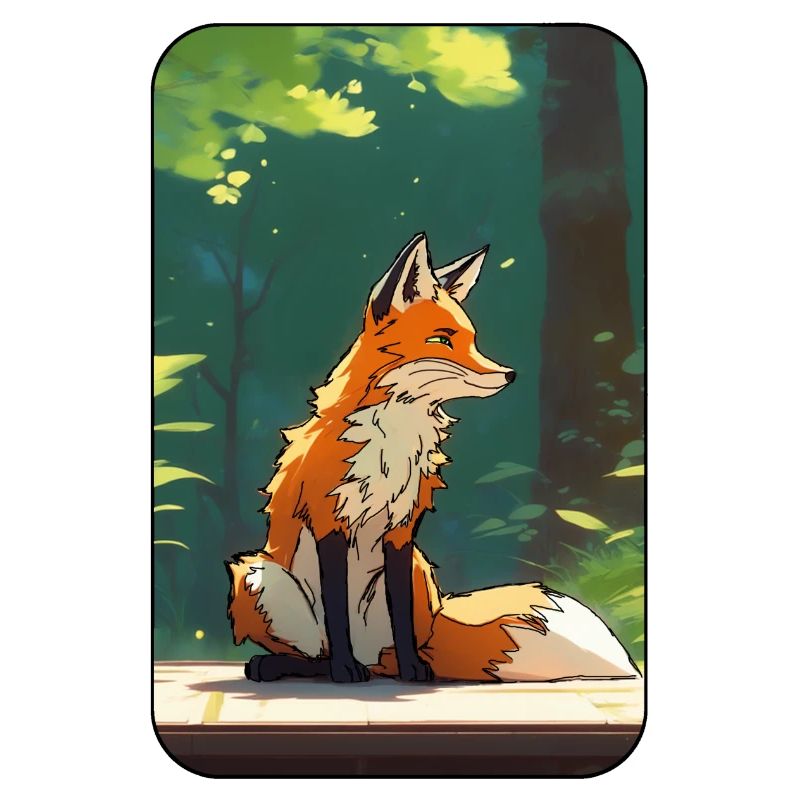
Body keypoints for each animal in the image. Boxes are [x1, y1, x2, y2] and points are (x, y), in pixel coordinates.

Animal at [226, 233, 639, 683]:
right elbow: (337, 614)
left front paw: (412, 669)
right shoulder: (328, 522)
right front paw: (344, 670)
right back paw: (295, 664)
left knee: (382, 652)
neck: (394, 439)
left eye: (472, 339)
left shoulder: (402, 530)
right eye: (442, 340)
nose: (509, 374)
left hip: (417, 571)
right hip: (256, 576)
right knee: (319, 650)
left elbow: (401, 617)